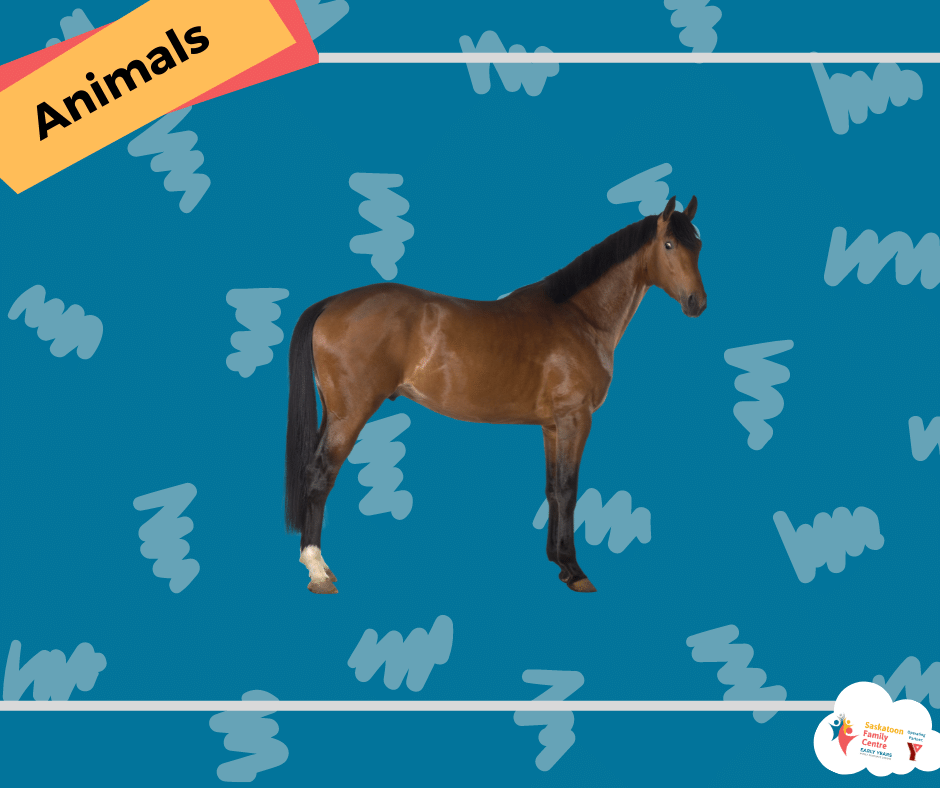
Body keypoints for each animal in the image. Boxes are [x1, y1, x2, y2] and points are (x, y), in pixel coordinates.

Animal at [285, 195, 706, 594]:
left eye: (698, 245)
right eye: (669, 244)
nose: (697, 303)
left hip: (333, 414)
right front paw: (575, 571)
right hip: (350, 415)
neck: (579, 317)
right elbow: (569, 490)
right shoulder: (575, 419)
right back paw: (318, 572)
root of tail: (331, 303)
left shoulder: (552, 426)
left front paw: (558, 563)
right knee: (320, 475)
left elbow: (553, 490)